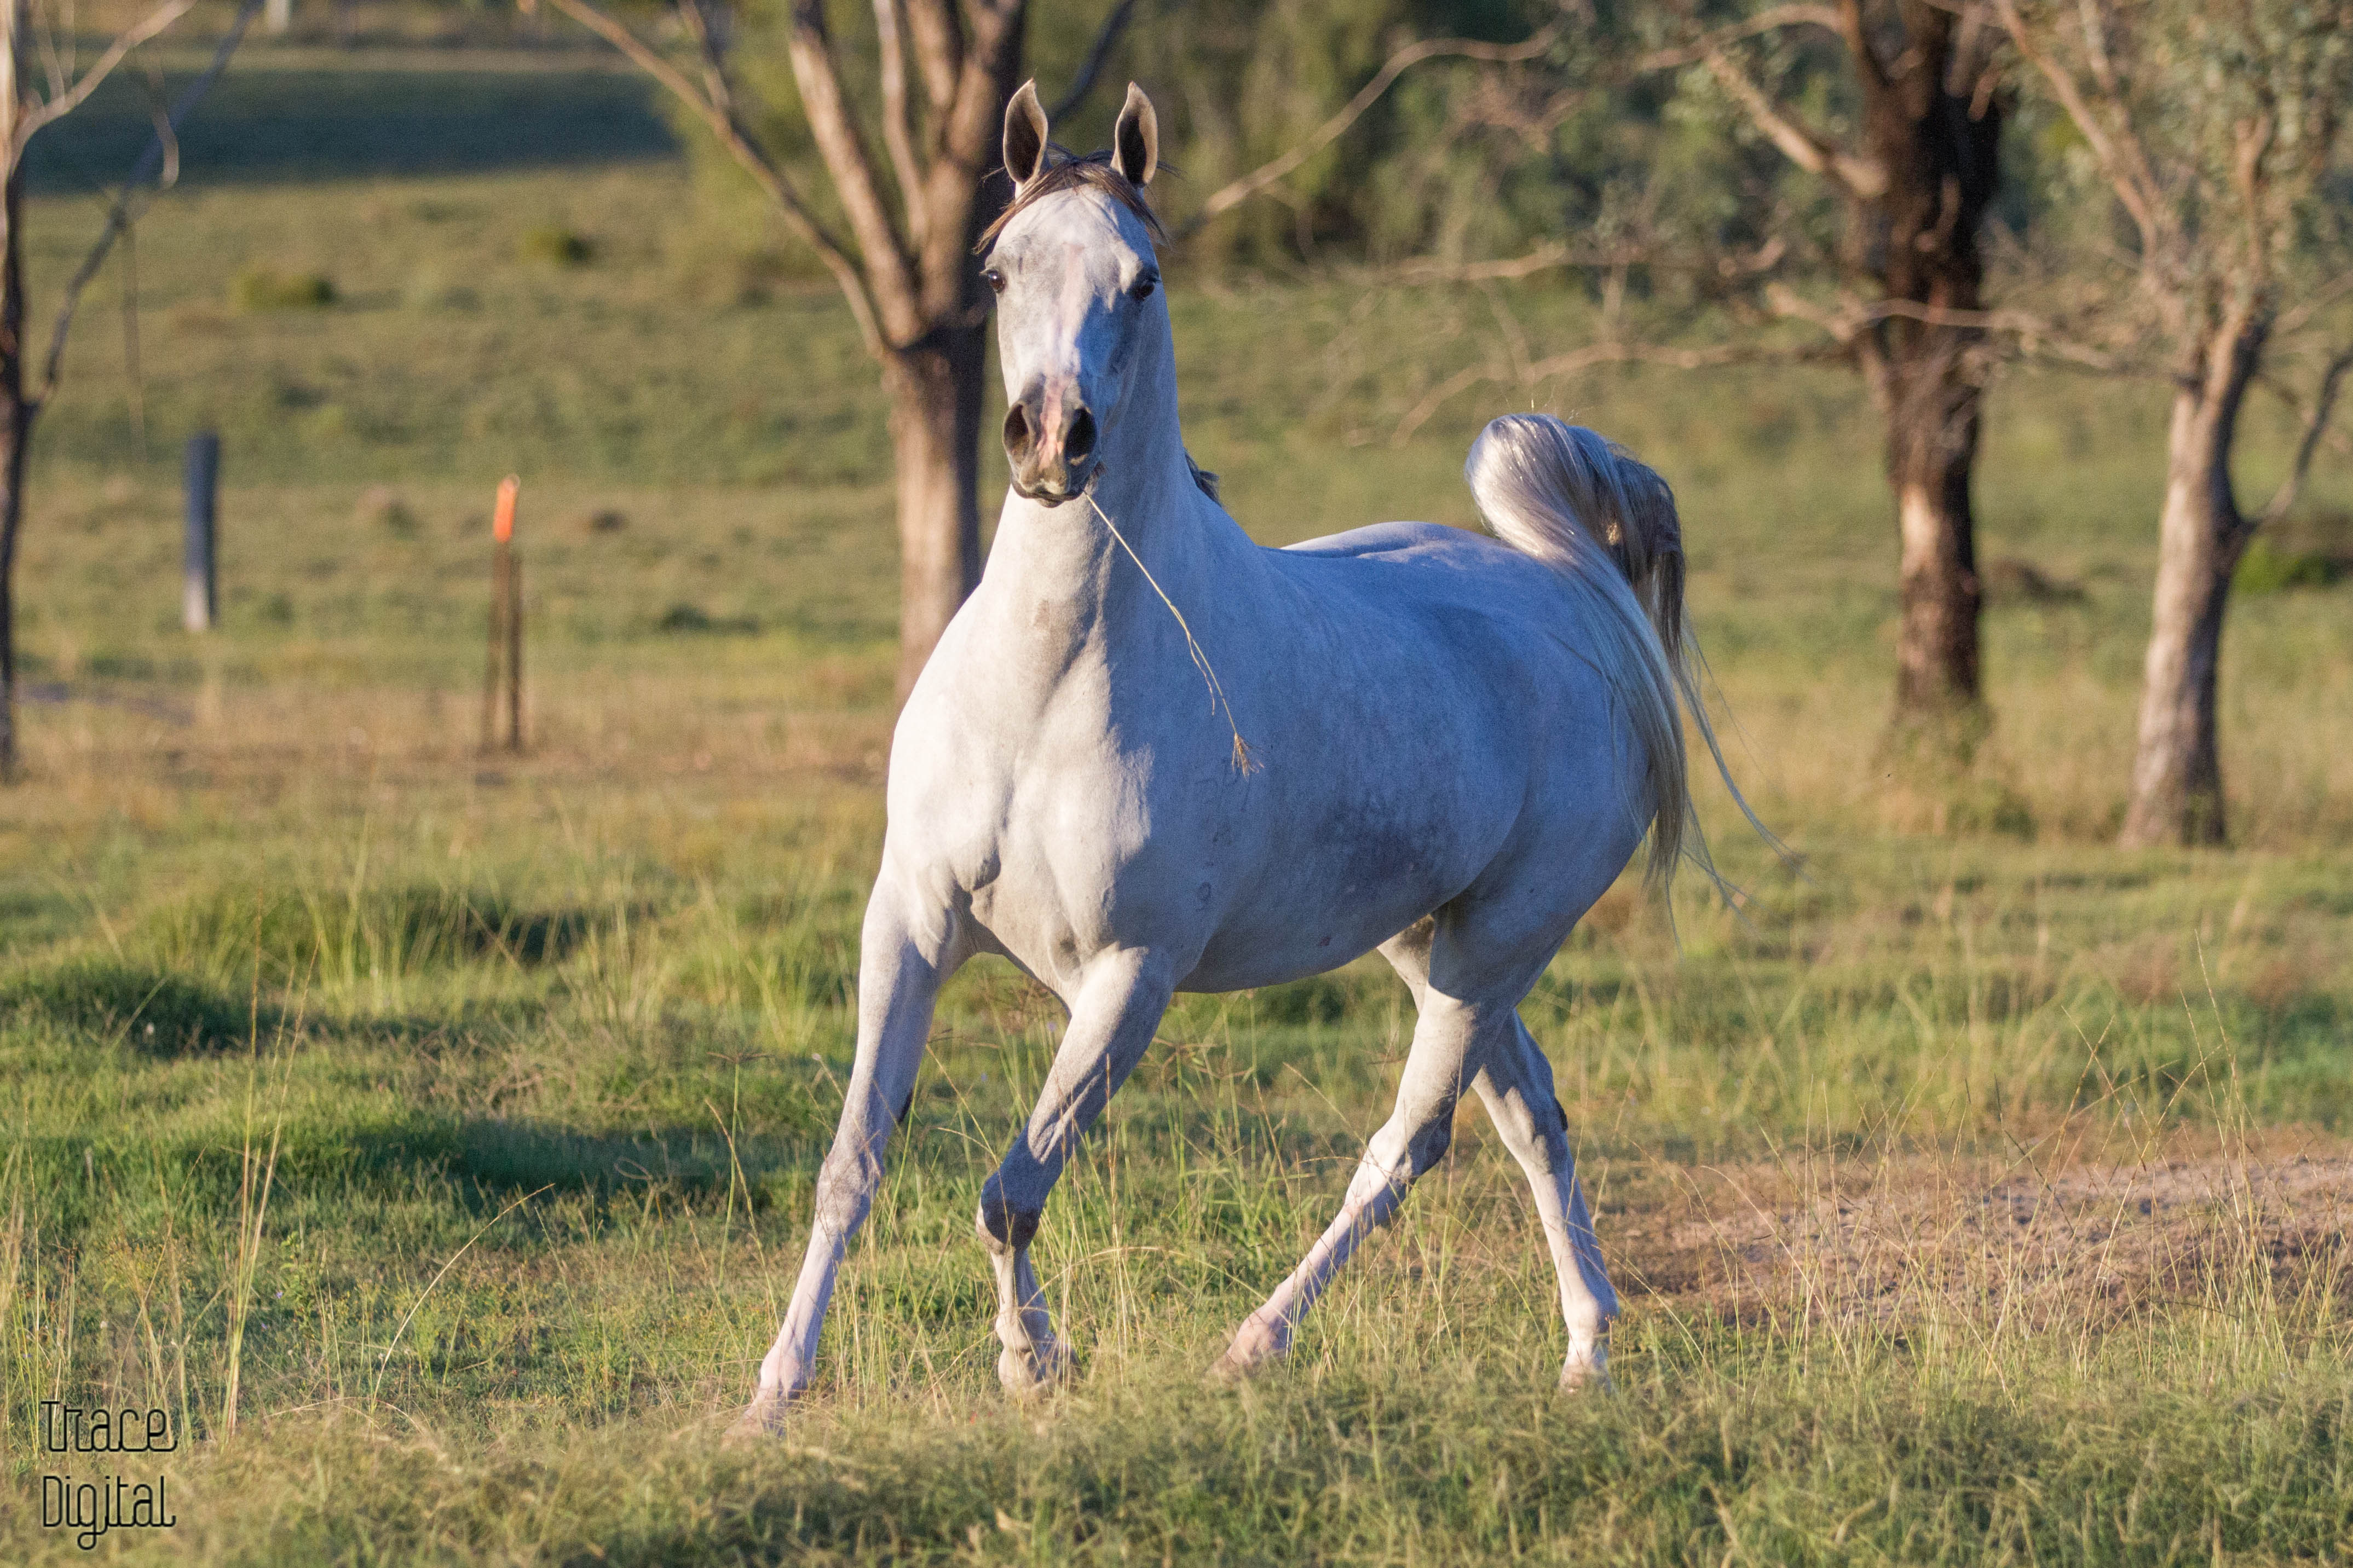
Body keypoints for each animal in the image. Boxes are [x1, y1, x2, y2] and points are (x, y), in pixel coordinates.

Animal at [729, 83, 1750, 1438]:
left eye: (1143, 278)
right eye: (998, 271)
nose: (1050, 440)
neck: (1047, 690)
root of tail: (1564, 590)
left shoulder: (1129, 977)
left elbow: (1012, 1186)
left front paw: (1032, 1363)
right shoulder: (910, 921)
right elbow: (853, 1163)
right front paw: (772, 1396)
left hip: (1494, 947)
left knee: (1409, 1143)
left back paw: (1255, 1344)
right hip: (1432, 942)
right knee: (1532, 1117)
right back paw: (1587, 1350)